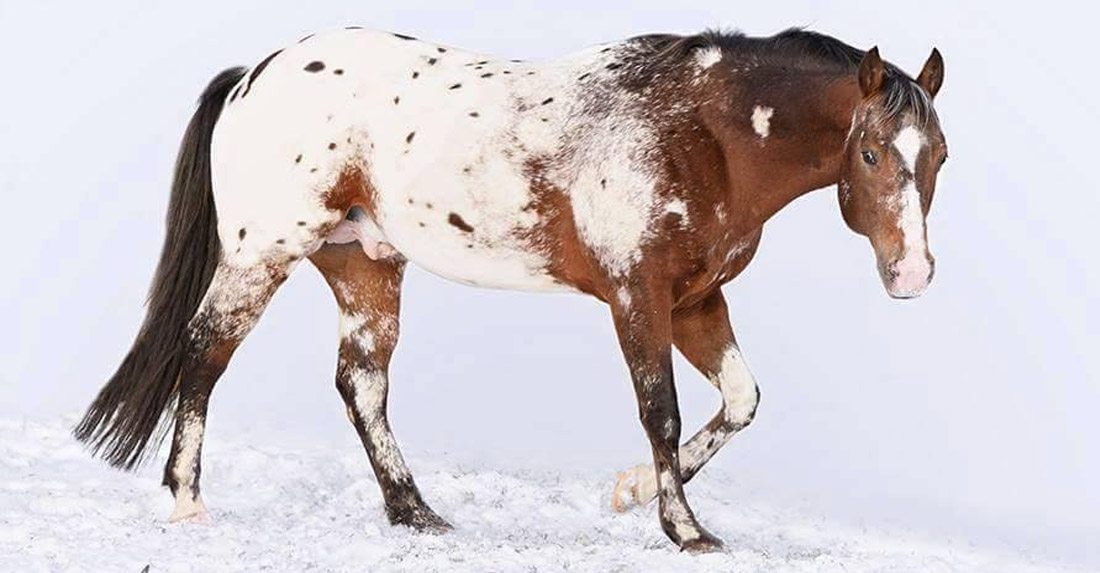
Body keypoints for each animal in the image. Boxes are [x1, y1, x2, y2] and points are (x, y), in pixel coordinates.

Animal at [75, 25, 946, 549]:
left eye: (937, 153)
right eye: (871, 154)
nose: (911, 274)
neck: (699, 131)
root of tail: (252, 74)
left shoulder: (699, 300)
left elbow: (740, 400)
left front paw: (631, 492)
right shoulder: (639, 297)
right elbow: (660, 412)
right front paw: (683, 526)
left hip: (364, 268)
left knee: (361, 384)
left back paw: (415, 512)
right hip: (264, 253)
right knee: (204, 353)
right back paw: (186, 499)